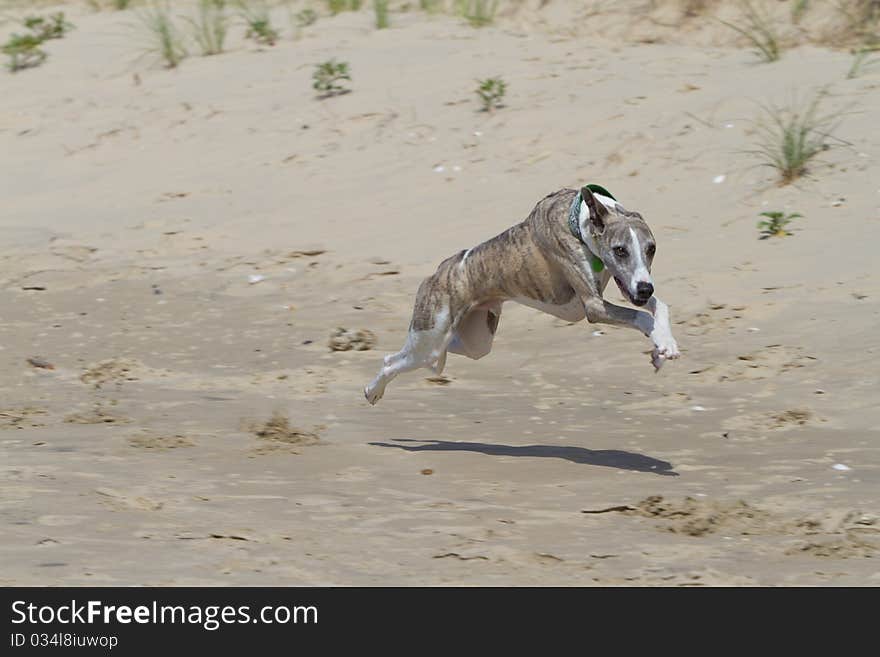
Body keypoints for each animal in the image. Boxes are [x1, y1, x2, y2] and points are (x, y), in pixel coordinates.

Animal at [364, 184, 680, 404]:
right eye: (620, 250)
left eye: (651, 248)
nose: (645, 287)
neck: (577, 222)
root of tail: (439, 271)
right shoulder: (593, 306)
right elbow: (642, 316)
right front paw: (662, 344)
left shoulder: (626, 287)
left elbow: (658, 306)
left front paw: (663, 346)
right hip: (429, 337)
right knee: (392, 360)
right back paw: (372, 391)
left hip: (475, 341)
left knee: (441, 354)